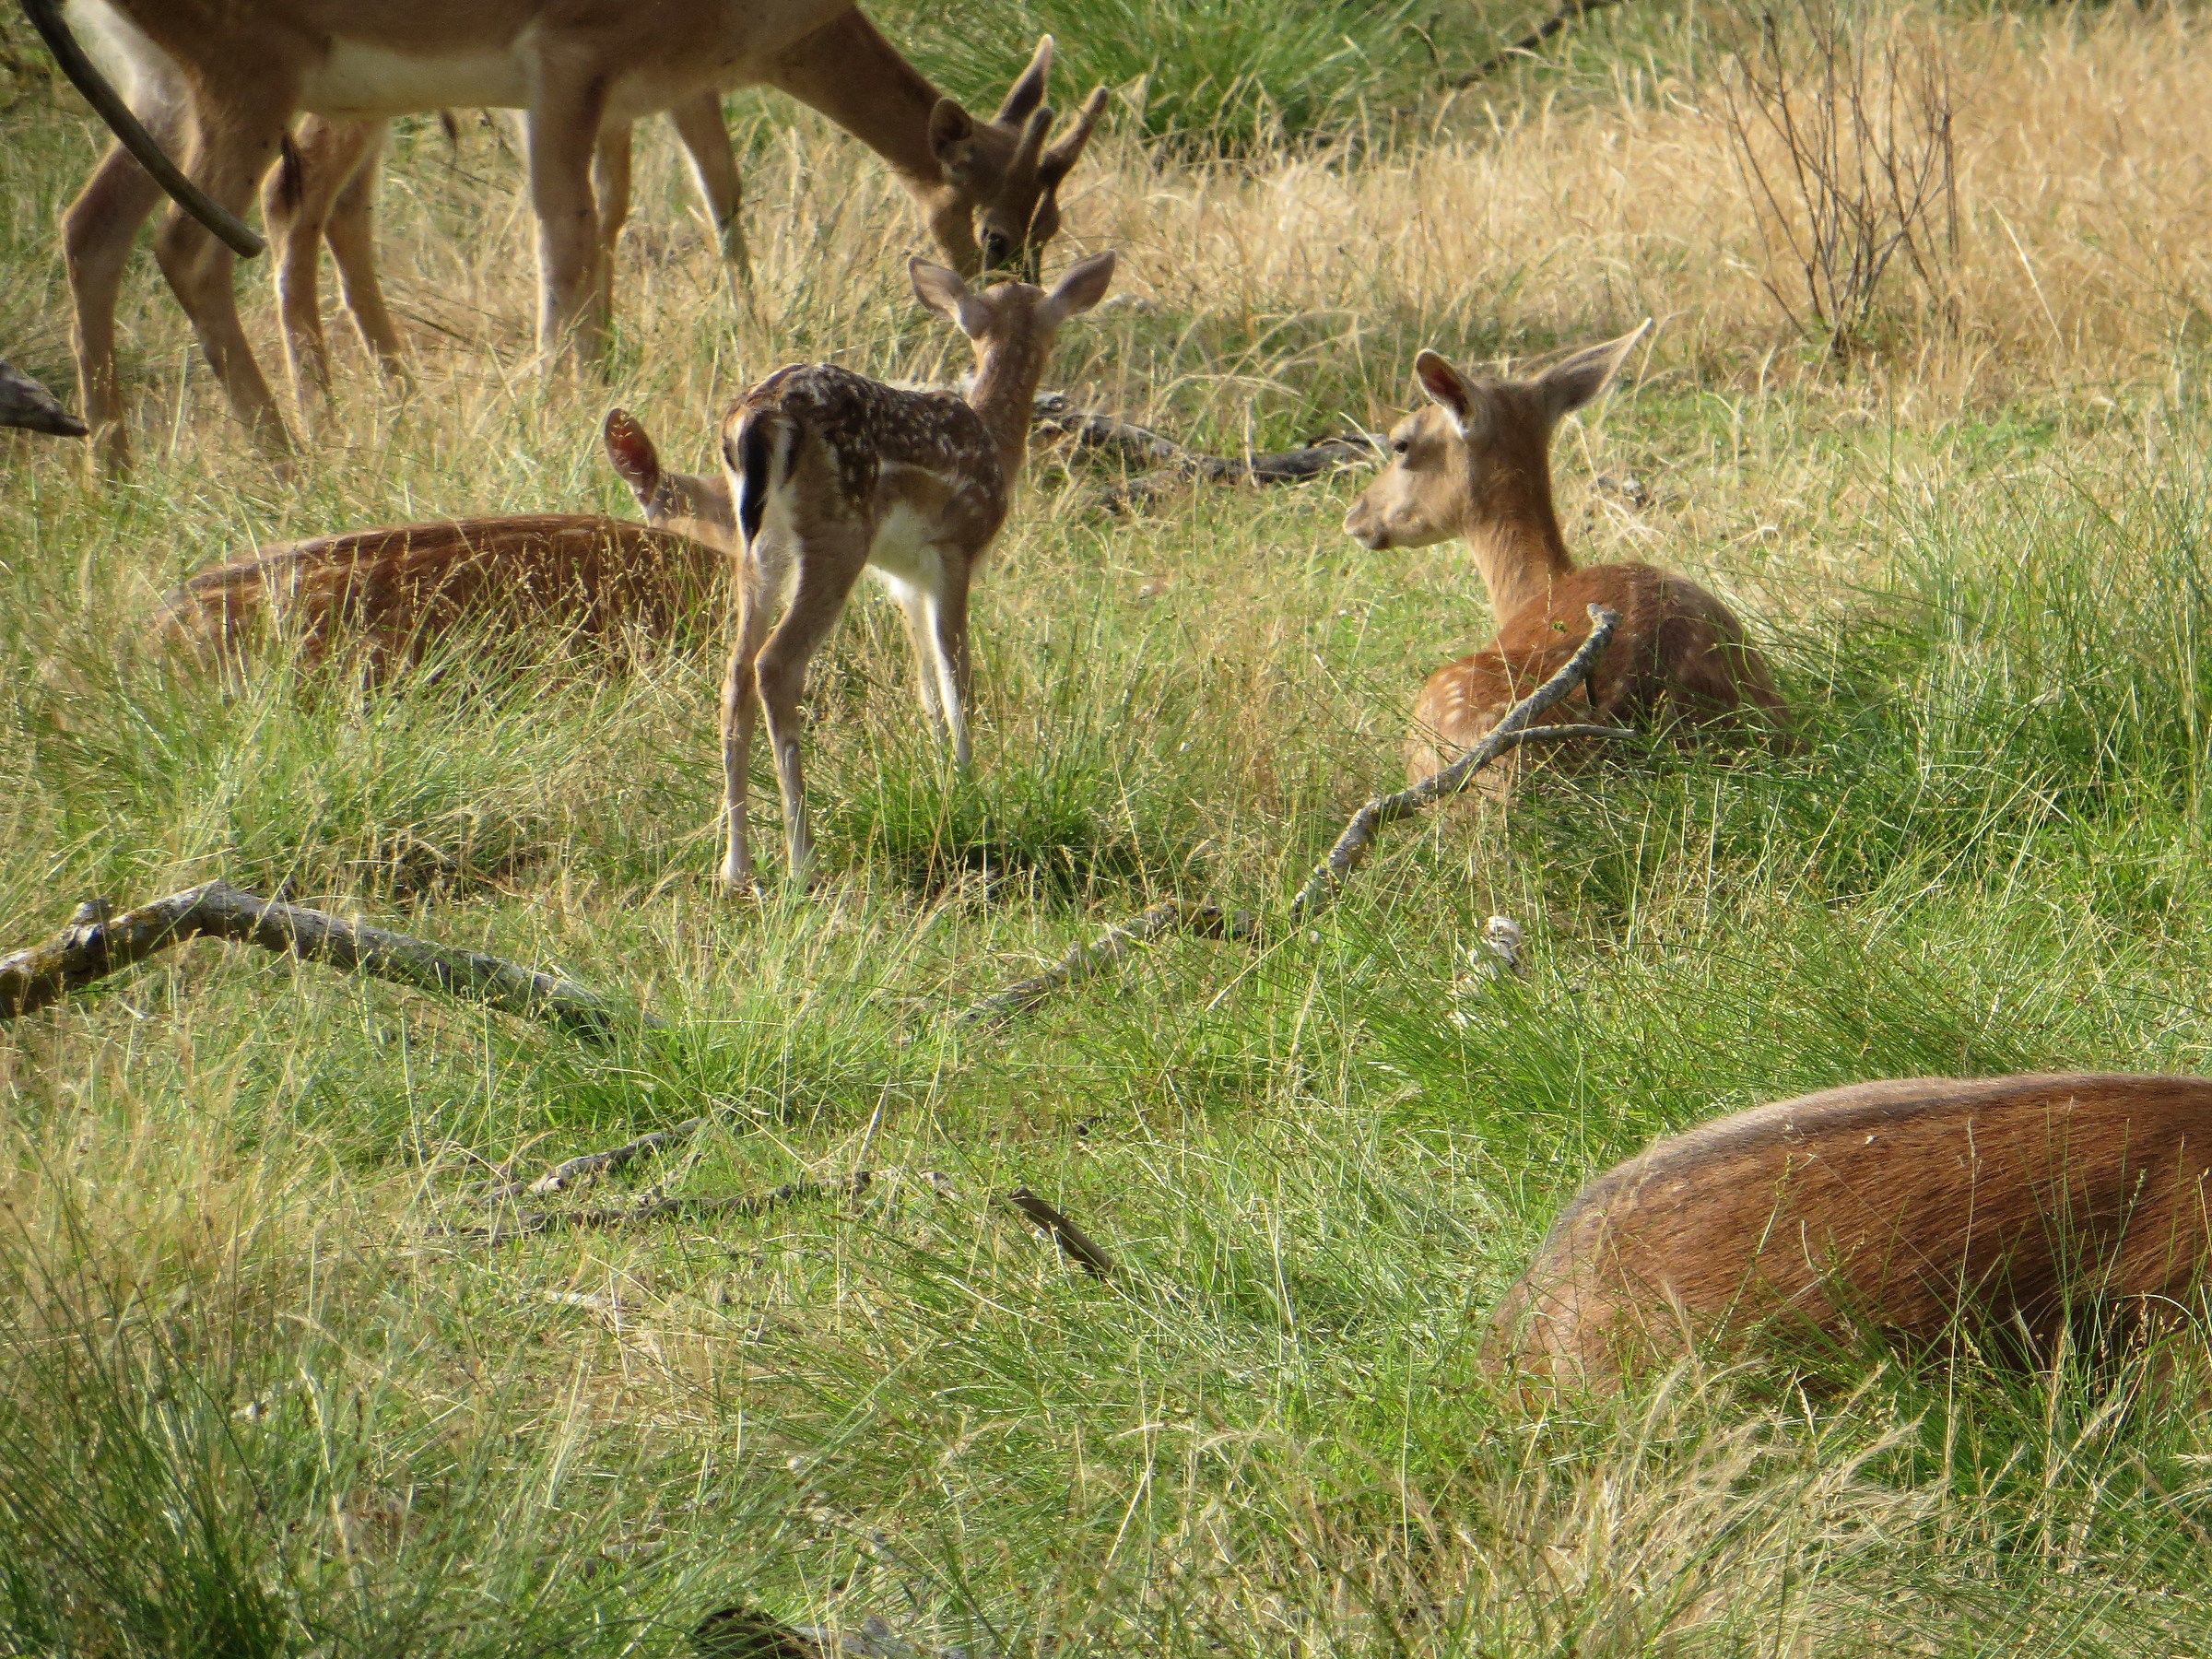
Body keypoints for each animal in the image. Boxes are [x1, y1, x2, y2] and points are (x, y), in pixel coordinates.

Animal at [41, 1, 1108, 472]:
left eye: (1054, 218)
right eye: (998, 232)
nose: (1009, 312)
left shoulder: (633, 90)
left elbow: (627, 206)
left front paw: (604, 365)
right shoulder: (565, 58)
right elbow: (572, 228)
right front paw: (565, 395)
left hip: (168, 91)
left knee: (94, 227)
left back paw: (115, 466)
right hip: (248, 73)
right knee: (203, 241)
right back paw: (289, 450)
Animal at [714, 247, 1117, 888]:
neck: (994, 442)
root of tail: (754, 419)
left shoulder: (904, 579)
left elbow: (926, 685)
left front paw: (941, 774)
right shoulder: (955, 549)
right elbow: (959, 678)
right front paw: (972, 787)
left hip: (757, 545)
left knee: (734, 671)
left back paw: (735, 866)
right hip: (838, 534)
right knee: (775, 664)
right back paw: (803, 861)